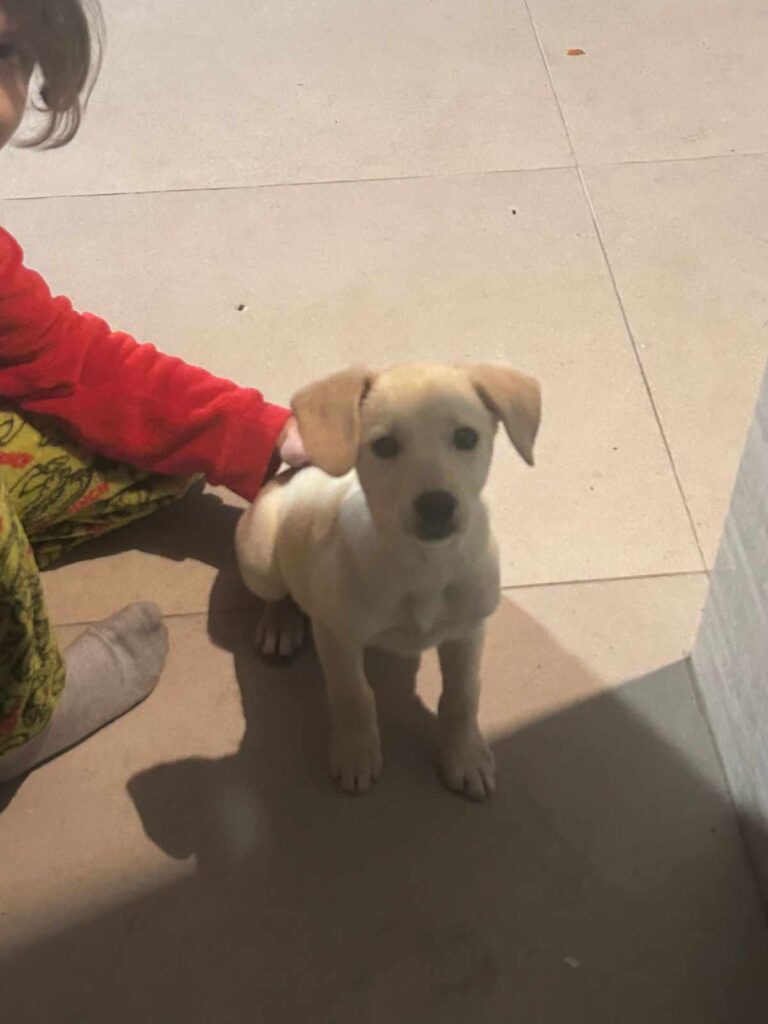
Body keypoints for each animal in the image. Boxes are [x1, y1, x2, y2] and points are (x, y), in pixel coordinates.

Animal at [236, 363, 541, 799]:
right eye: (384, 445)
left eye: (466, 437)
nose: (437, 506)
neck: (424, 565)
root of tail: (293, 471)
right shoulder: (336, 634)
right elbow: (353, 694)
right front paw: (356, 753)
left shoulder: (468, 630)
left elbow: (463, 695)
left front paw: (464, 755)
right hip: (259, 561)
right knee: (279, 594)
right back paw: (280, 625)